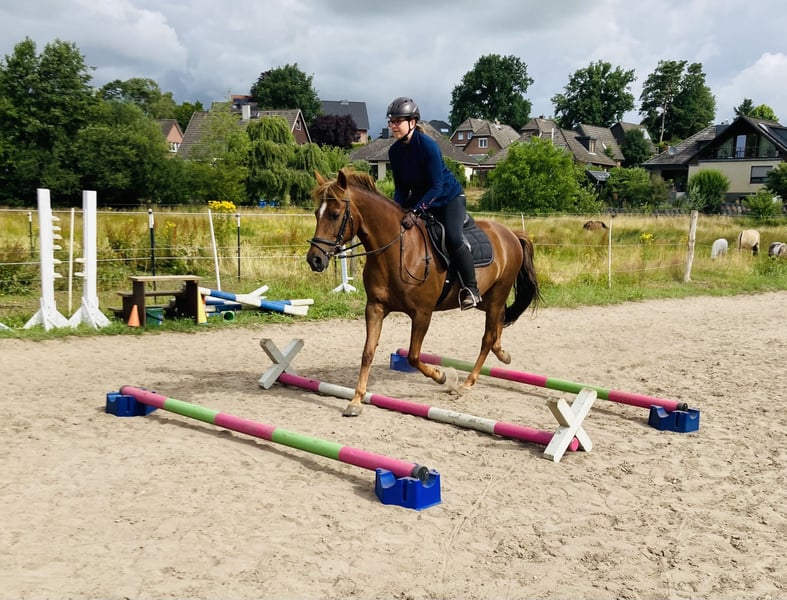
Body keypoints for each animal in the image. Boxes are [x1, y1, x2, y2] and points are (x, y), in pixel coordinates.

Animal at [306, 168, 540, 417]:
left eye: (335, 214)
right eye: (317, 213)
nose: (314, 259)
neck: (397, 251)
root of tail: (511, 234)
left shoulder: (422, 314)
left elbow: (413, 355)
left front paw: (443, 376)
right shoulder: (375, 308)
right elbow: (367, 352)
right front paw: (356, 401)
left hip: (497, 293)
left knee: (488, 337)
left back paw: (469, 380)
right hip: (486, 298)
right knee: (499, 323)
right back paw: (502, 354)